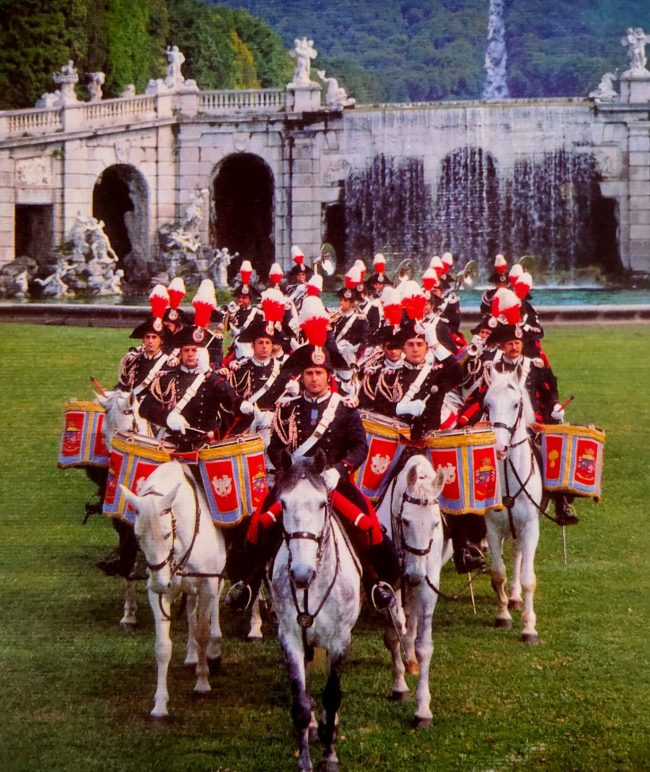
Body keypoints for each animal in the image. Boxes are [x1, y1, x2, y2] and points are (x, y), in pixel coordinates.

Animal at [119, 458, 225, 716]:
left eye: (167, 534)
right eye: (137, 536)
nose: (160, 584)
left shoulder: (207, 583)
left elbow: (203, 633)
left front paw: (202, 682)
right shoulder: (158, 594)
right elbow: (163, 646)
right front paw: (159, 704)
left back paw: (213, 650)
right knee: (190, 612)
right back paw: (191, 655)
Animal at [268, 452, 360, 772]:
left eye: (322, 503)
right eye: (283, 503)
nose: (300, 573)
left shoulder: (340, 640)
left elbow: (332, 697)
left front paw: (329, 755)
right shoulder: (290, 637)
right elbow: (299, 703)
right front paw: (304, 760)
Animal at [374, 456, 446, 728]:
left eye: (435, 524)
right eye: (405, 521)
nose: (414, 574)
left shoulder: (427, 588)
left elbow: (424, 646)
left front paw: (423, 709)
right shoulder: (388, 584)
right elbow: (393, 634)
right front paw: (399, 685)